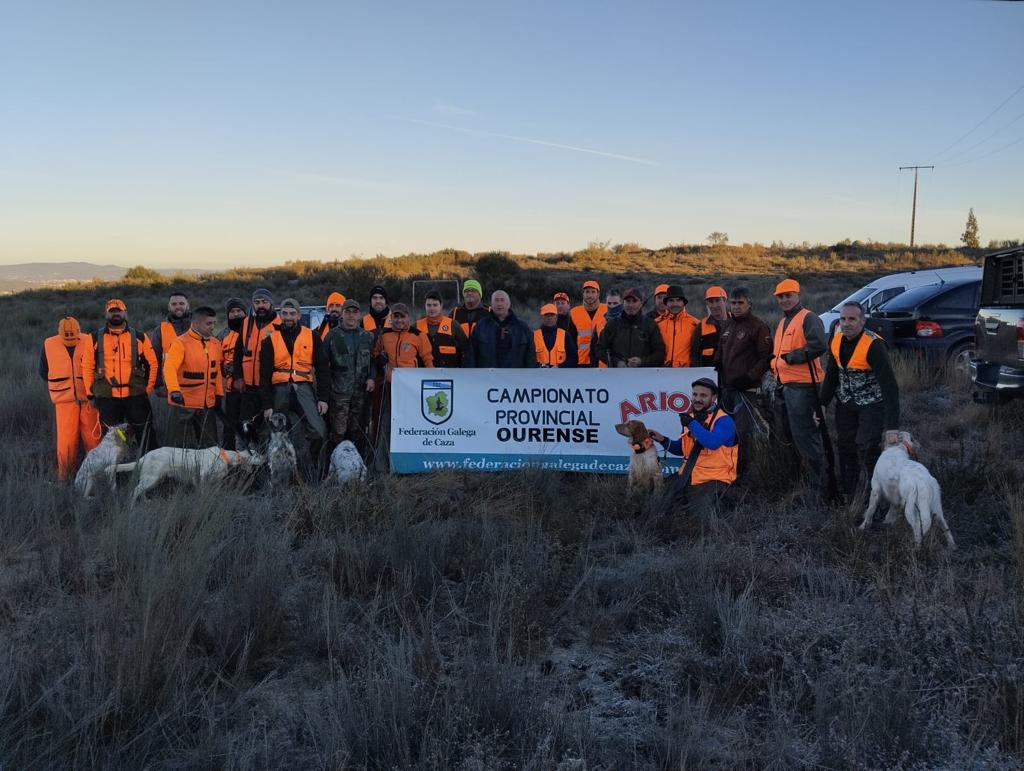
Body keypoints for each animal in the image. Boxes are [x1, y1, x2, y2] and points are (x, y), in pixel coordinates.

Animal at [108, 446, 264, 502]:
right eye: (256, 454)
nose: (265, 457)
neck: (224, 456)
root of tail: (144, 456)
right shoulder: (202, 476)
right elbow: (202, 490)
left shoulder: (215, 481)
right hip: (151, 478)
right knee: (134, 491)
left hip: (154, 479)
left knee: (142, 491)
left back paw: (146, 501)